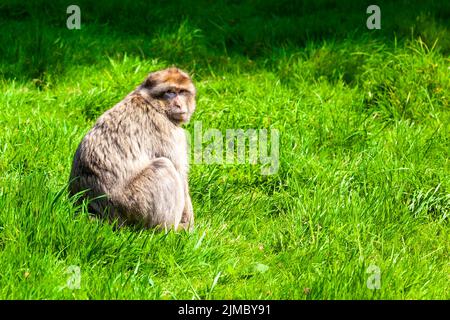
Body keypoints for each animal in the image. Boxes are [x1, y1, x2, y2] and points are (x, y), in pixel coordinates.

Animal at [70, 67, 195, 231]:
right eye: (170, 92)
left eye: (182, 92)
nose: (180, 105)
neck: (152, 103)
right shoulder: (168, 131)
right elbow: (179, 172)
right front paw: (188, 225)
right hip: (132, 203)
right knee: (163, 166)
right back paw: (168, 230)